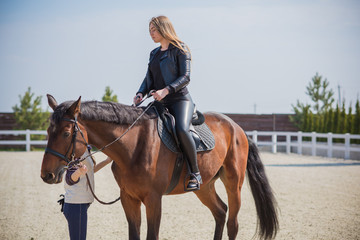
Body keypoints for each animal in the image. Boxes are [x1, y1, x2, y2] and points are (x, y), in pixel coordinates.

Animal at [41, 95, 278, 240]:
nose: (47, 174)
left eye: (65, 133)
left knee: (232, 223)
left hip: (233, 184)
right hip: (204, 187)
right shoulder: (129, 199)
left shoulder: (154, 200)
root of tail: (237, 128)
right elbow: (134, 235)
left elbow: (151, 236)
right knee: (220, 212)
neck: (134, 146)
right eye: (48, 131)